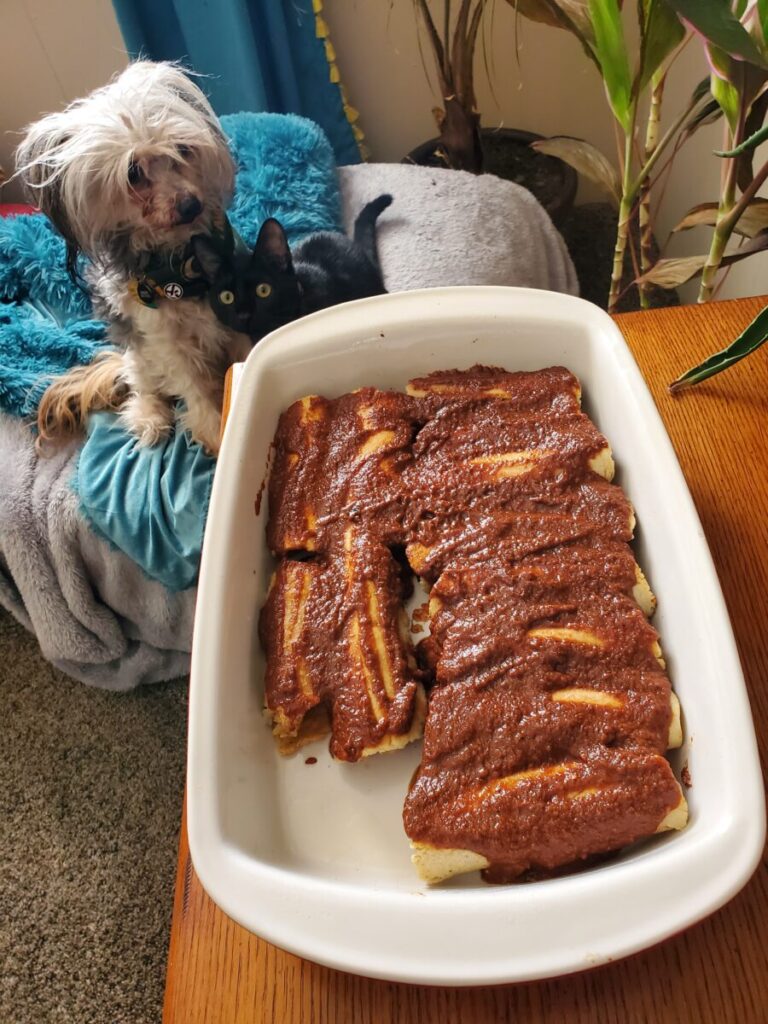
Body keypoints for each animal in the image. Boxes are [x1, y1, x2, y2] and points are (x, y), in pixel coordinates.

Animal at [17, 59, 252, 452]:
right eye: (133, 173)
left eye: (182, 149)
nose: (190, 205)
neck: (182, 265)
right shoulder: (164, 340)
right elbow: (195, 387)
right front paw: (218, 435)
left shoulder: (237, 317)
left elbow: (248, 351)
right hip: (140, 355)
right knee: (143, 386)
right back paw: (150, 417)